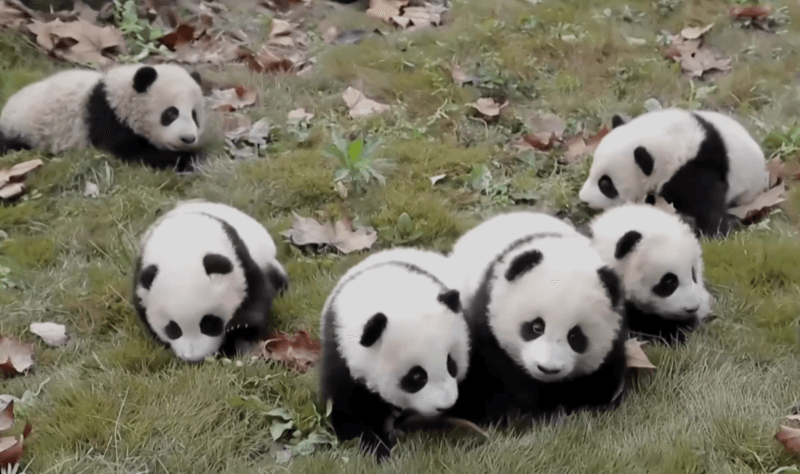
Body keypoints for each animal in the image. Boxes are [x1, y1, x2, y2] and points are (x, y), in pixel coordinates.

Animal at [0, 64, 205, 172]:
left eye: (195, 115)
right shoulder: (108, 119)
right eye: (171, 113)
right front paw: (188, 158)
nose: (188, 138)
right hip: (23, 129)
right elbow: (132, 152)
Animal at [133, 200, 288, 363]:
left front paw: (240, 328)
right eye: (173, 328)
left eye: (210, 323)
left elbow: (255, 297)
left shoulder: (239, 257)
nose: (194, 358)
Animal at [319, 247, 469, 462]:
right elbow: (346, 412)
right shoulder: (340, 353)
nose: (445, 405)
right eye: (417, 376)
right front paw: (378, 450)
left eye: (451, 364)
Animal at [578, 108, 769, 238]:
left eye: (605, 185)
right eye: (591, 171)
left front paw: (715, 231)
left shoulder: (693, 167)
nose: (584, 199)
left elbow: (707, 199)